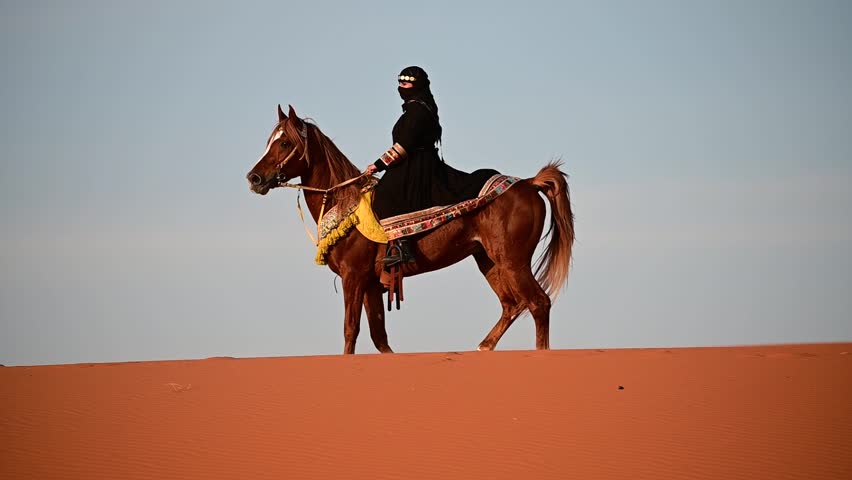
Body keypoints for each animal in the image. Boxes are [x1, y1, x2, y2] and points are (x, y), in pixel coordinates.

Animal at [246, 104, 574, 354]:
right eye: (270, 141)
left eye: (285, 143)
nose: (254, 178)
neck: (345, 202)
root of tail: (529, 183)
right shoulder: (371, 285)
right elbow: (380, 338)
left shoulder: (354, 277)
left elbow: (350, 330)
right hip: (489, 261)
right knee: (512, 304)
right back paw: (483, 346)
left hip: (513, 261)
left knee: (538, 303)